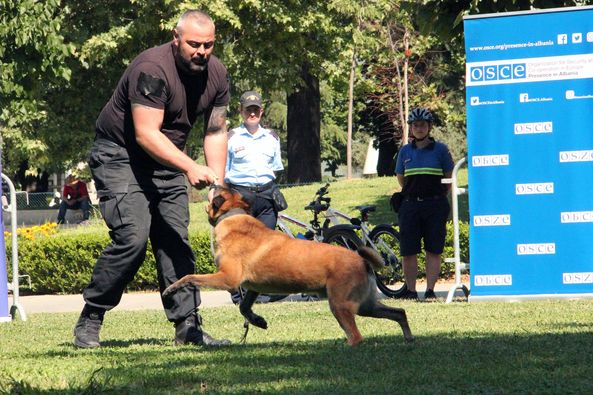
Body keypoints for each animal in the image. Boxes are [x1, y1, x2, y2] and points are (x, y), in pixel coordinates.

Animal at [160, 189, 414, 346]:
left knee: (357, 336)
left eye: (217, 190)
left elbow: (190, 276)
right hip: (365, 304)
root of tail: (362, 261)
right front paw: (257, 321)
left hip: (341, 304)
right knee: (399, 312)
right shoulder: (252, 287)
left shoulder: (227, 278)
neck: (232, 216)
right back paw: (409, 338)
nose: (211, 181)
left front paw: (172, 288)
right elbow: (244, 306)